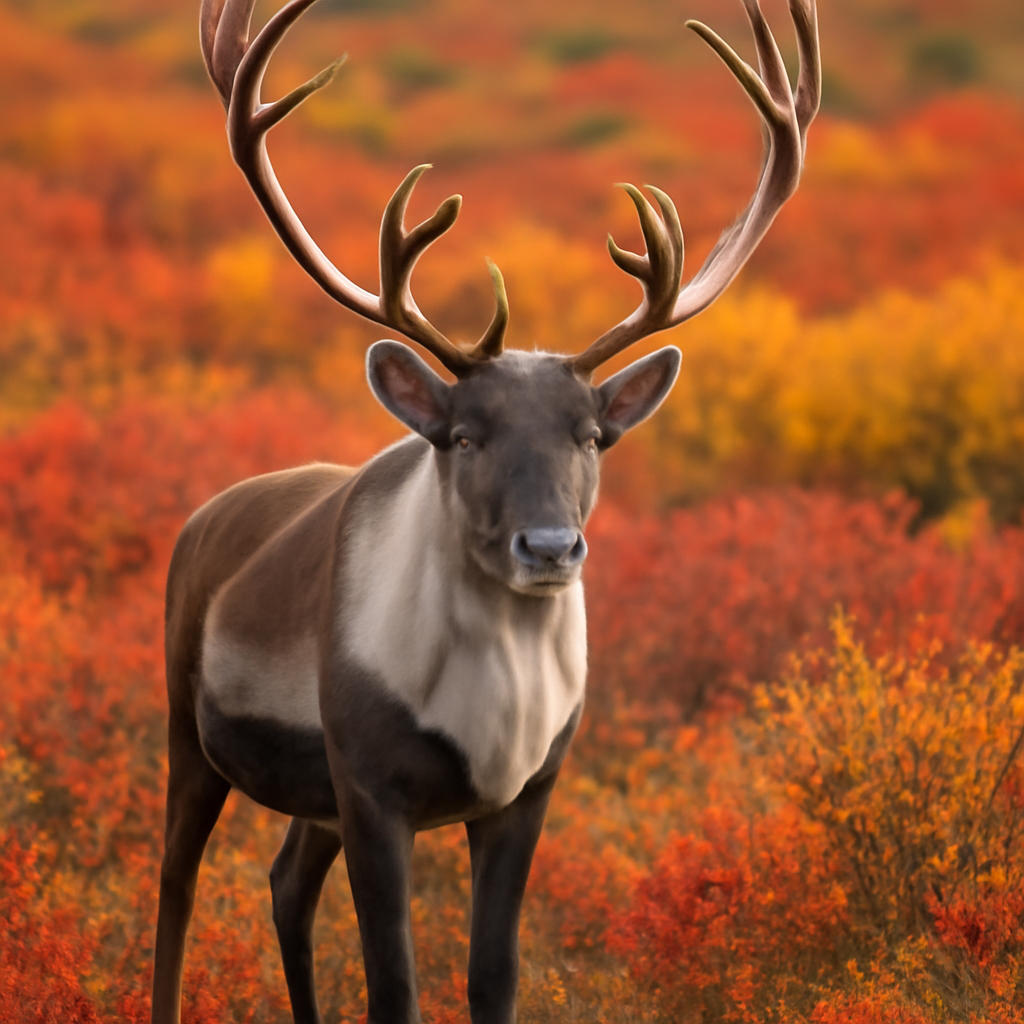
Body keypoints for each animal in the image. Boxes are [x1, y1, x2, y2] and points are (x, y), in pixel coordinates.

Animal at [153, 0, 819, 1021]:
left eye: (592, 436)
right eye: (465, 436)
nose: (549, 547)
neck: (490, 704)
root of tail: (206, 518)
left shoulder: (527, 790)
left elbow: (492, 974)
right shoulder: (371, 785)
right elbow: (395, 985)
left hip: (311, 797)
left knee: (284, 882)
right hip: (191, 730)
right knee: (177, 891)